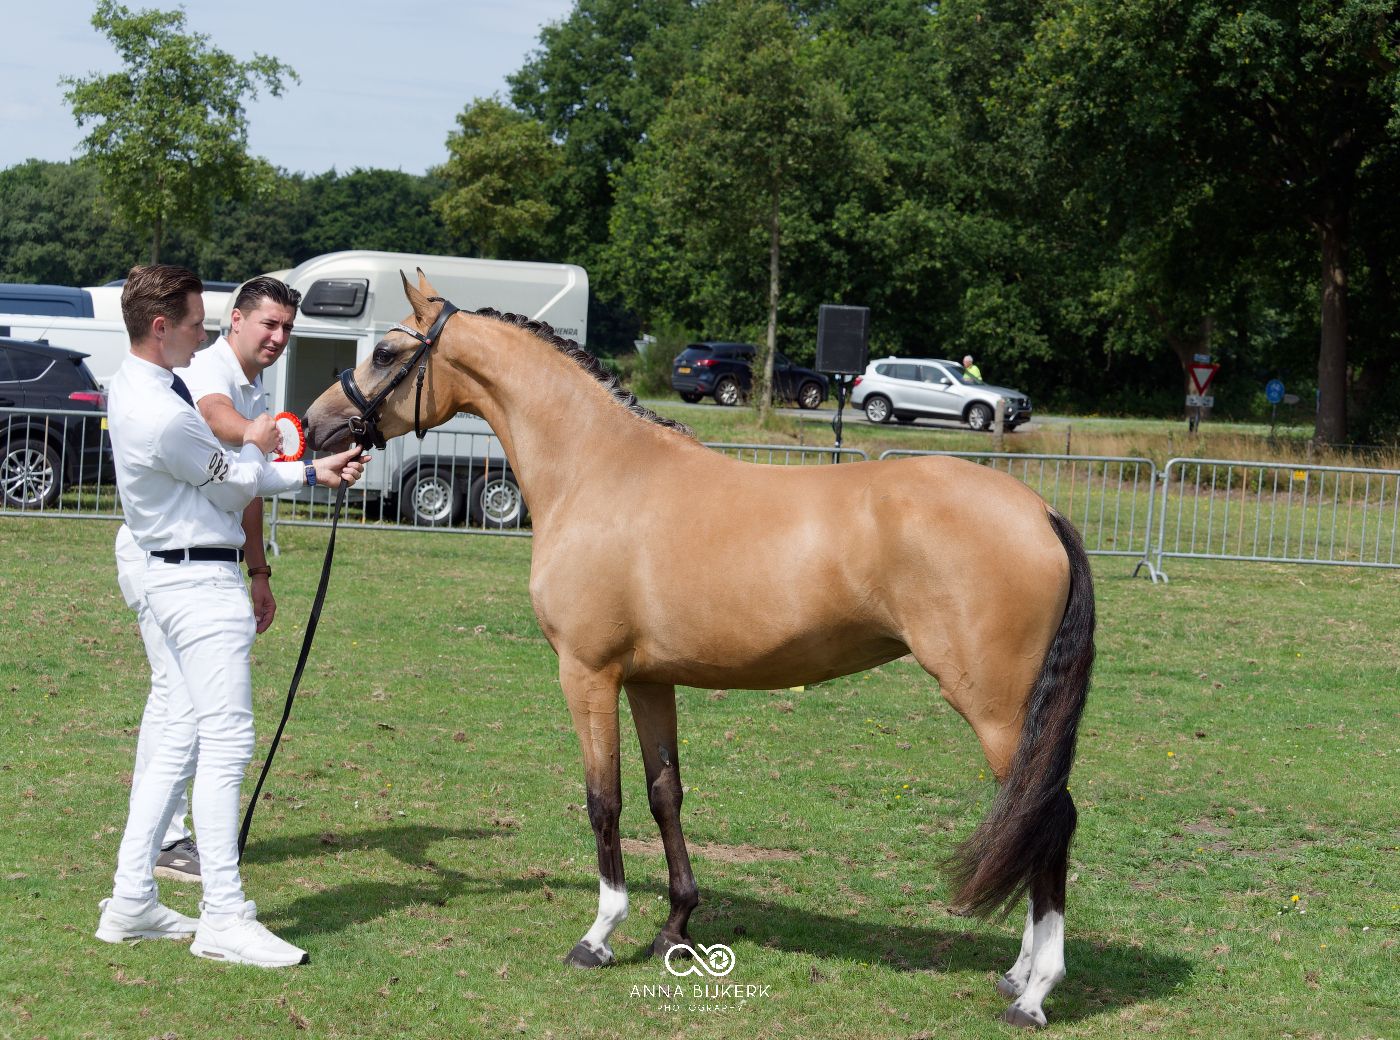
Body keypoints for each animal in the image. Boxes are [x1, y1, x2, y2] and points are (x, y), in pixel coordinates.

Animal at [303, 273, 1095, 1029]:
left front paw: (599, 936)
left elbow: (604, 800)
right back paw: (1018, 973)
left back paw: (1034, 994)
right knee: (1029, 817)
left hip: (996, 709)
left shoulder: (587, 674)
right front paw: (676, 928)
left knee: (1048, 820)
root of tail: (1041, 511)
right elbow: (665, 797)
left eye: (385, 353)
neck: (601, 472)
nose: (316, 426)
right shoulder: (649, 681)